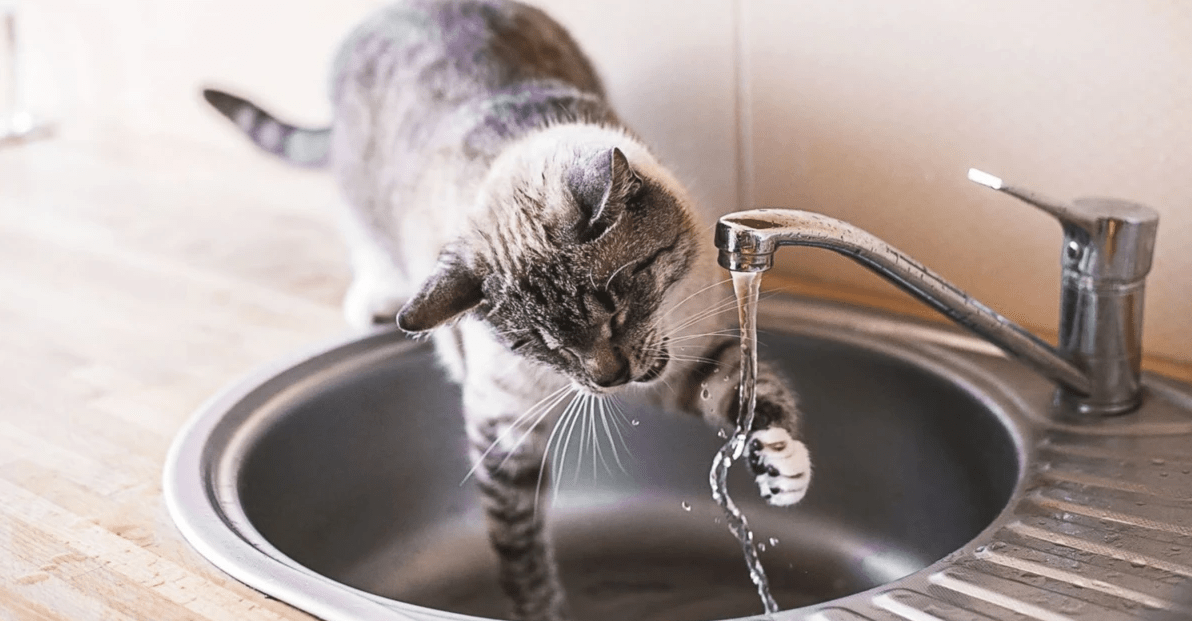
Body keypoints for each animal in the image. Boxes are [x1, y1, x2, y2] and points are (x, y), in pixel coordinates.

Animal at [209, 2, 815, 615]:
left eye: (616, 306)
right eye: (542, 346)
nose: (610, 379)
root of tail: (397, 9)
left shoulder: (692, 355)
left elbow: (749, 399)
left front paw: (781, 466)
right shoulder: (505, 432)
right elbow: (520, 549)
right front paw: (539, 611)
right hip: (363, 201)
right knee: (365, 238)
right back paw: (377, 302)